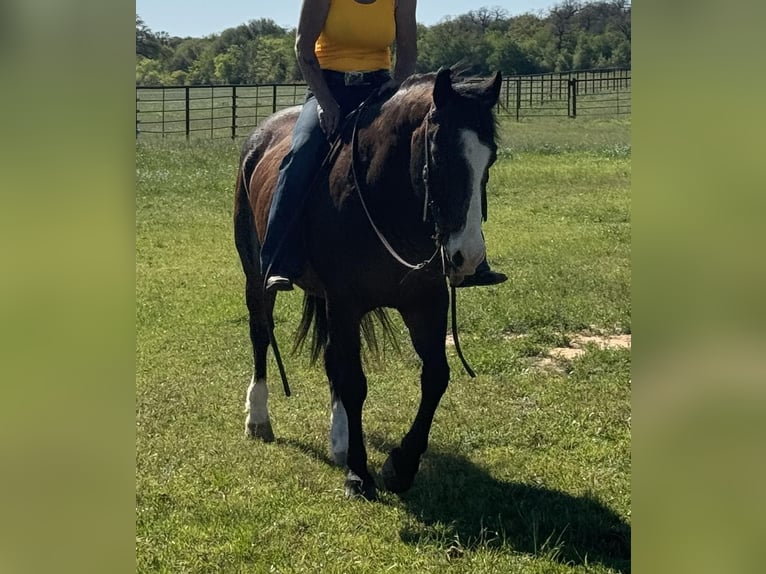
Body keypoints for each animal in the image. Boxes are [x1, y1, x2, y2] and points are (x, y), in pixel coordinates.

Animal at [232, 68, 504, 500]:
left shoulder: (425, 303)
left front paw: (400, 466)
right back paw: (258, 418)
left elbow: (435, 377)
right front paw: (359, 475)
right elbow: (355, 383)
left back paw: (340, 439)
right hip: (256, 275)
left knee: (331, 358)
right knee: (261, 333)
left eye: (490, 157)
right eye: (439, 155)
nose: (469, 257)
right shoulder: (346, 303)